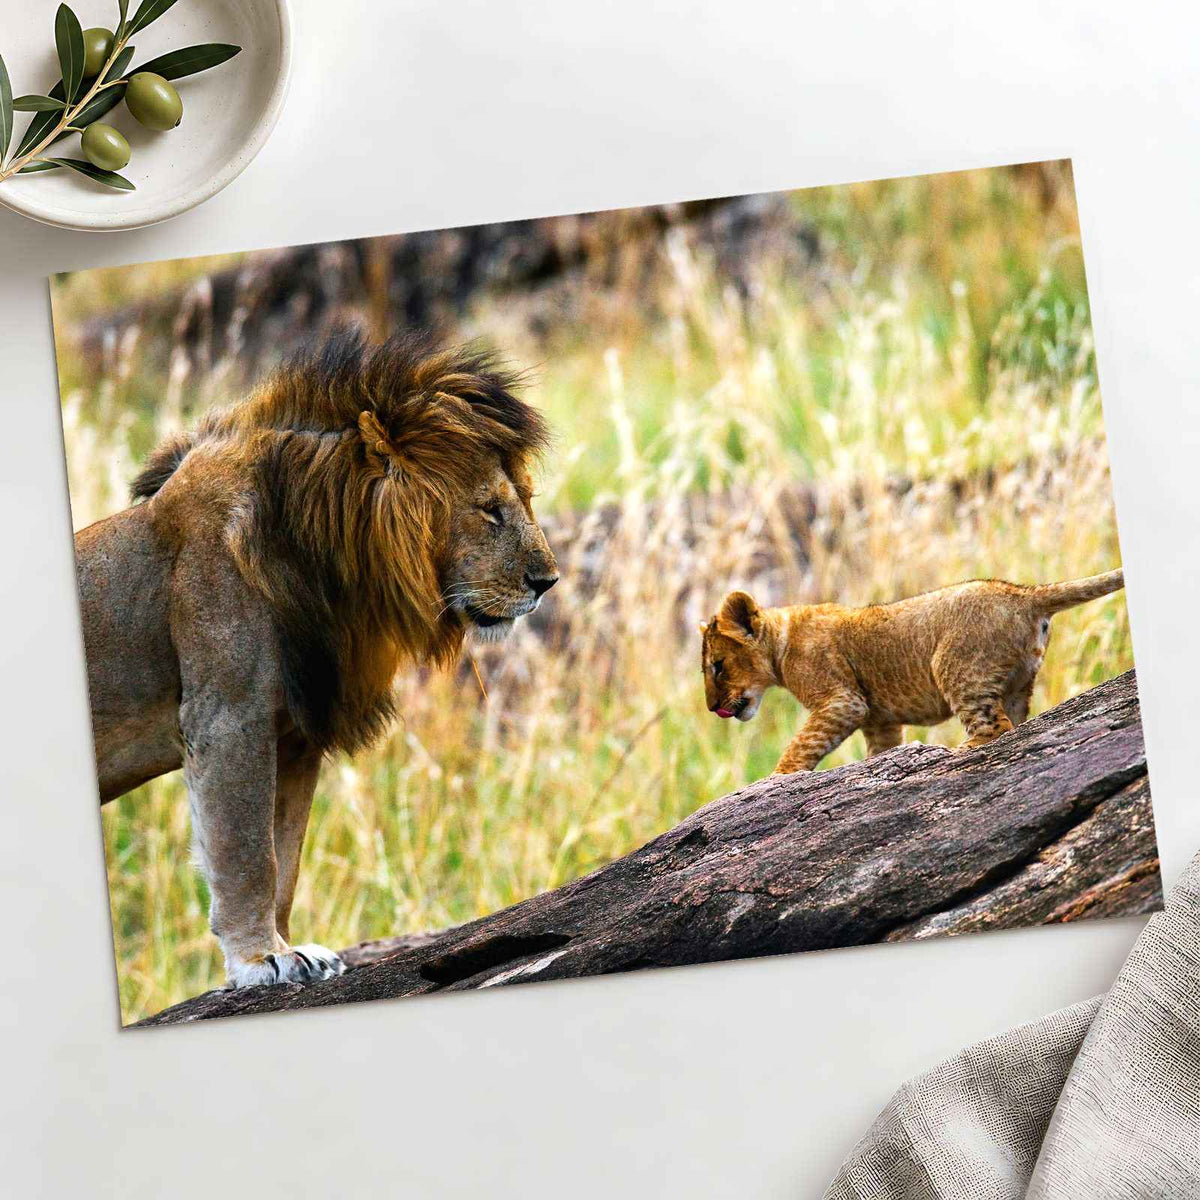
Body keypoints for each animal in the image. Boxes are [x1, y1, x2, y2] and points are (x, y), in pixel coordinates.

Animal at [76, 330, 558, 989]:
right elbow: (248, 853)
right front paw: (260, 957)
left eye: (524, 500)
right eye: (489, 509)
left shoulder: (295, 734)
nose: (549, 582)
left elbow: (284, 858)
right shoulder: (228, 717)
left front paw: (293, 949)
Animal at [700, 570, 1124, 774]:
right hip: (1018, 682)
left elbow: (802, 745)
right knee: (1014, 722)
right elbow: (878, 751)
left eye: (717, 667)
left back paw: (958, 751)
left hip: (953, 666)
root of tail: (1022, 593)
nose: (710, 708)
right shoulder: (879, 722)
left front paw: (777, 777)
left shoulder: (843, 701)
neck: (782, 641)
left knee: (995, 728)